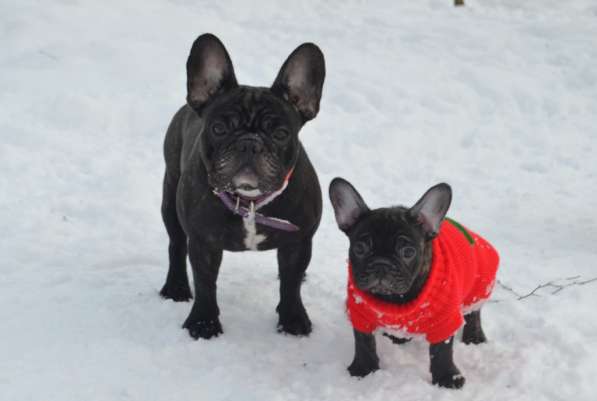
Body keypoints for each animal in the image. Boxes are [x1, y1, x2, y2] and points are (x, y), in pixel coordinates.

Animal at [158, 34, 324, 340]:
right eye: (219, 129)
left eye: (281, 133)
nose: (249, 143)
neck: (249, 202)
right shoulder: (203, 242)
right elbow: (205, 284)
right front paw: (203, 323)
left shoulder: (298, 242)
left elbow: (291, 284)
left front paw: (293, 320)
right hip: (170, 197)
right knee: (176, 243)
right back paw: (176, 287)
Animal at [328, 178, 500, 388]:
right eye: (360, 248)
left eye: (408, 252)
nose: (381, 264)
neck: (395, 298)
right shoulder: (360, 314)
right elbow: (363, 342)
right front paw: (363, 369)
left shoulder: (444, 320)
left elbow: (442, 351)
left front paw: (447, 378)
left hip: (478, 288)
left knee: (474, 312)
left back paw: (474, 336)